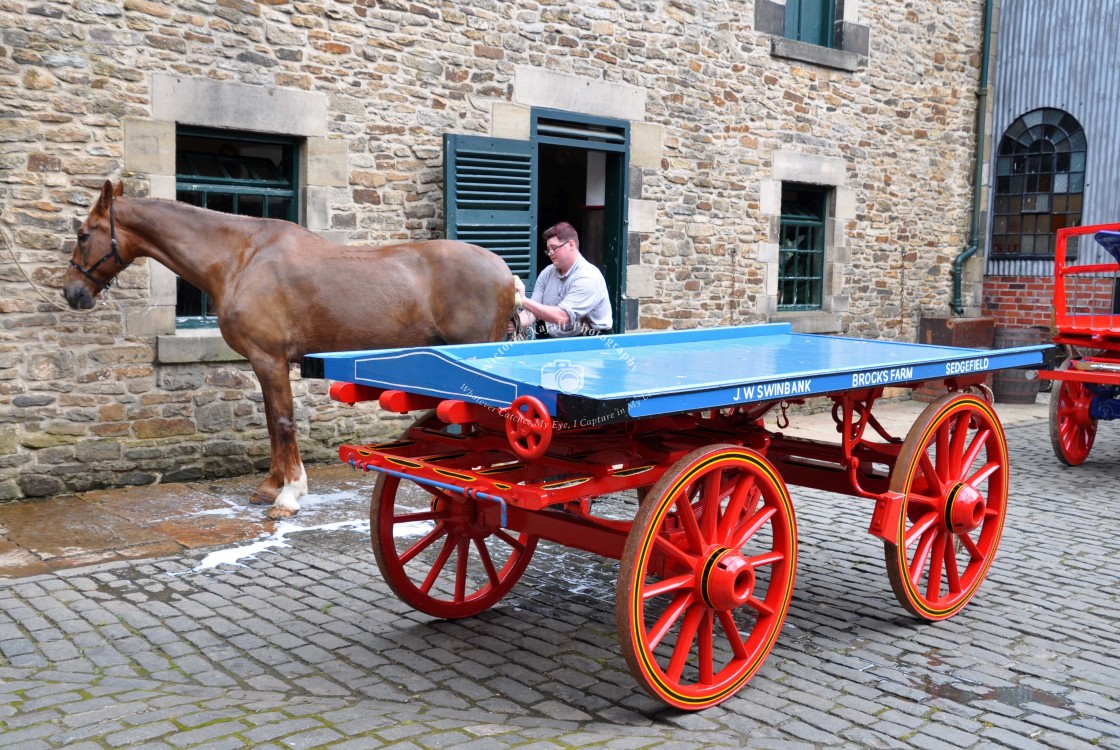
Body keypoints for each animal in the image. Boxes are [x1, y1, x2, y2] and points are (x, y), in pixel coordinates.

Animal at [67, 182, 521, 523]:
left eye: (83, 234)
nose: (72, 294)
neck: (240, 257)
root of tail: (506, 272)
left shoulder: (270, 359)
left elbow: (283, 421)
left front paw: (289, 494)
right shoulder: (263, 362)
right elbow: (272, 421)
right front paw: (270, 486)